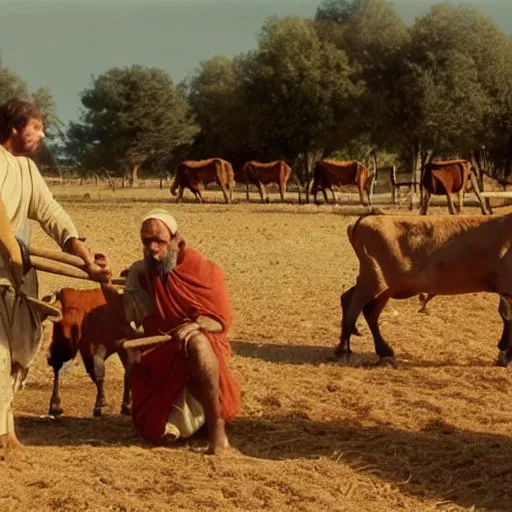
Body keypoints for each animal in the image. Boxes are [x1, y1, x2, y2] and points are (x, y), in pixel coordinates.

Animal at [45, 286, 137, 418]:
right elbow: (97, 373)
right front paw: (102, 403)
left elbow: (127, 373)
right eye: (59, 324)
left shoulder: (126, 347)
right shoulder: (90, 350)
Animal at [336, 214, 512, 366]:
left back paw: (381, 350)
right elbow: (508, 317)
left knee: (362, 307)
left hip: (383, 286)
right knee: (354, 306)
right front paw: (505, 355)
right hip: (373, 280)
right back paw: (344, 351)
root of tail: (363, 220)